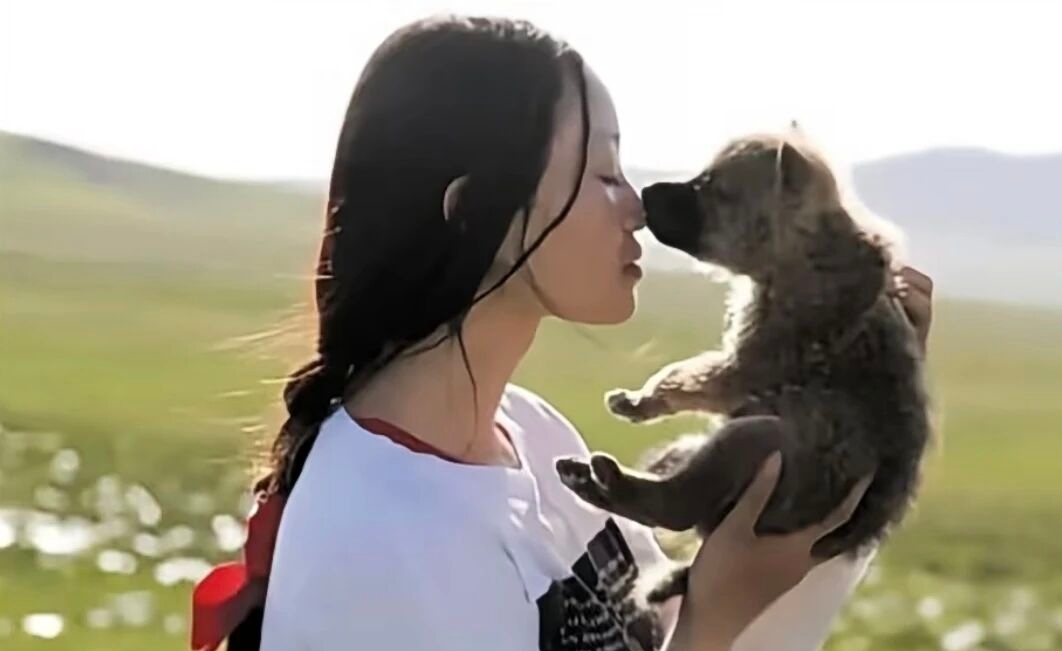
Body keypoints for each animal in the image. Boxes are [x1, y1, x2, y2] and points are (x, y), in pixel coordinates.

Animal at [555, 132, 933, 604]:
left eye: (713, 188)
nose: (645, 191)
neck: (804, 248)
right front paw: (639, 401)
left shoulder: (752, 361)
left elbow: (687, 375)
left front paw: (642, 400)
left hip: (769, 445)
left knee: (681, 503)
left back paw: (610, 484)